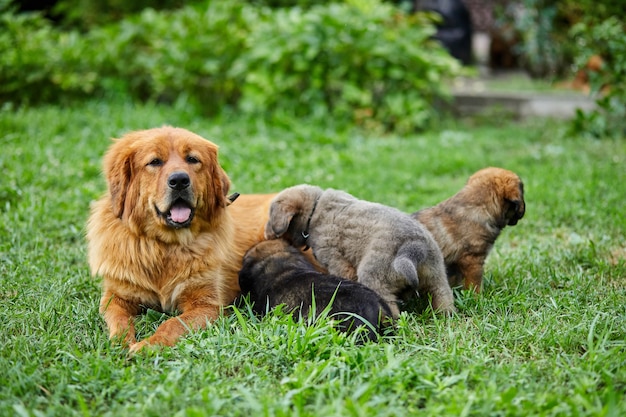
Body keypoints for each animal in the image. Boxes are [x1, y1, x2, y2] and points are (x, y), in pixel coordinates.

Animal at [264, 184, 454, 316]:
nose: (267, 235)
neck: (315, 210)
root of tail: (414, 245)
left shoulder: (335, 259)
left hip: (373, 275)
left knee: (391, 306)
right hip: (436, 274)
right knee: (443, 295)